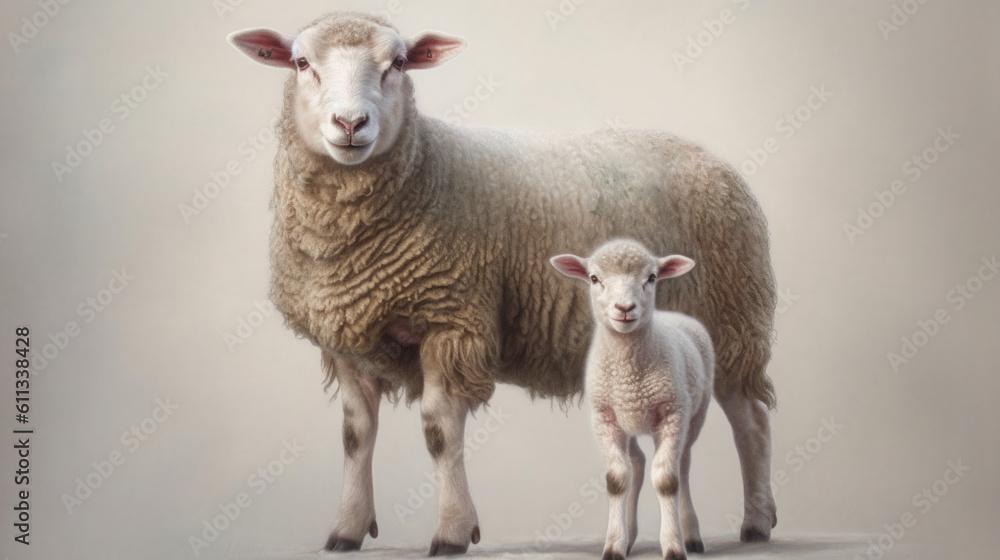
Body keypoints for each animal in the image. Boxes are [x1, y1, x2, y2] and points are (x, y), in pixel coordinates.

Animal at [551, 239, 714, 560]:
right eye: (594, 278)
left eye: (651, 277)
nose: (625, 308)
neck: (629, 373)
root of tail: (676, 314)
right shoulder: (604, 418)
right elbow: (617, 480)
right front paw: (615, 544)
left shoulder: (672, 414)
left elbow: (667, 480)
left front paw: (673, 545)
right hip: (629, 421)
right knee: (636, 463)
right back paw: (629, 534)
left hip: (694, 416)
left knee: (682, 465)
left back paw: (690, 534)